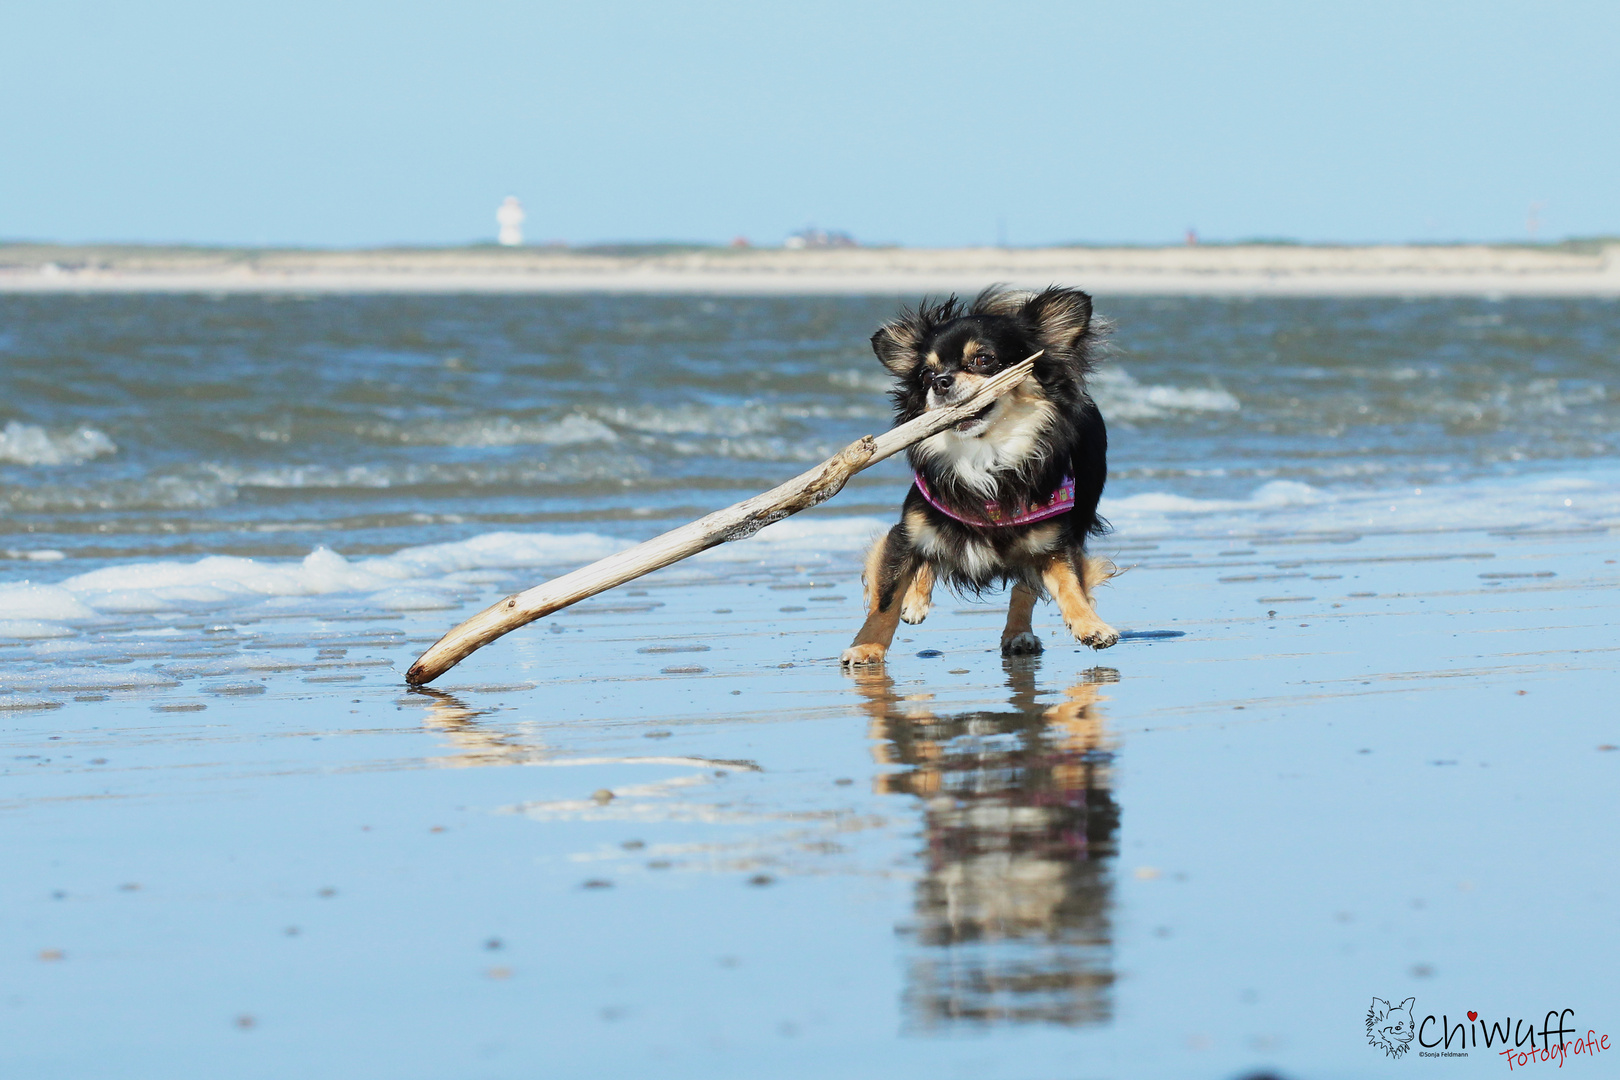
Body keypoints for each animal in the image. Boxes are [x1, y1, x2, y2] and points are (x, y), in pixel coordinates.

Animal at [842, 284, 1121, 667]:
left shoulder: (1054, 542)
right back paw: (915, 600)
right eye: (925, 375)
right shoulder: (907, 533)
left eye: (983, 360)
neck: (984, 457)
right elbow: (886, 600)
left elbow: (1069, 584)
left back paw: (1018, 634)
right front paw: (867, 646)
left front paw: (1090, 624)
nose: (940, 382)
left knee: (1025, 586)